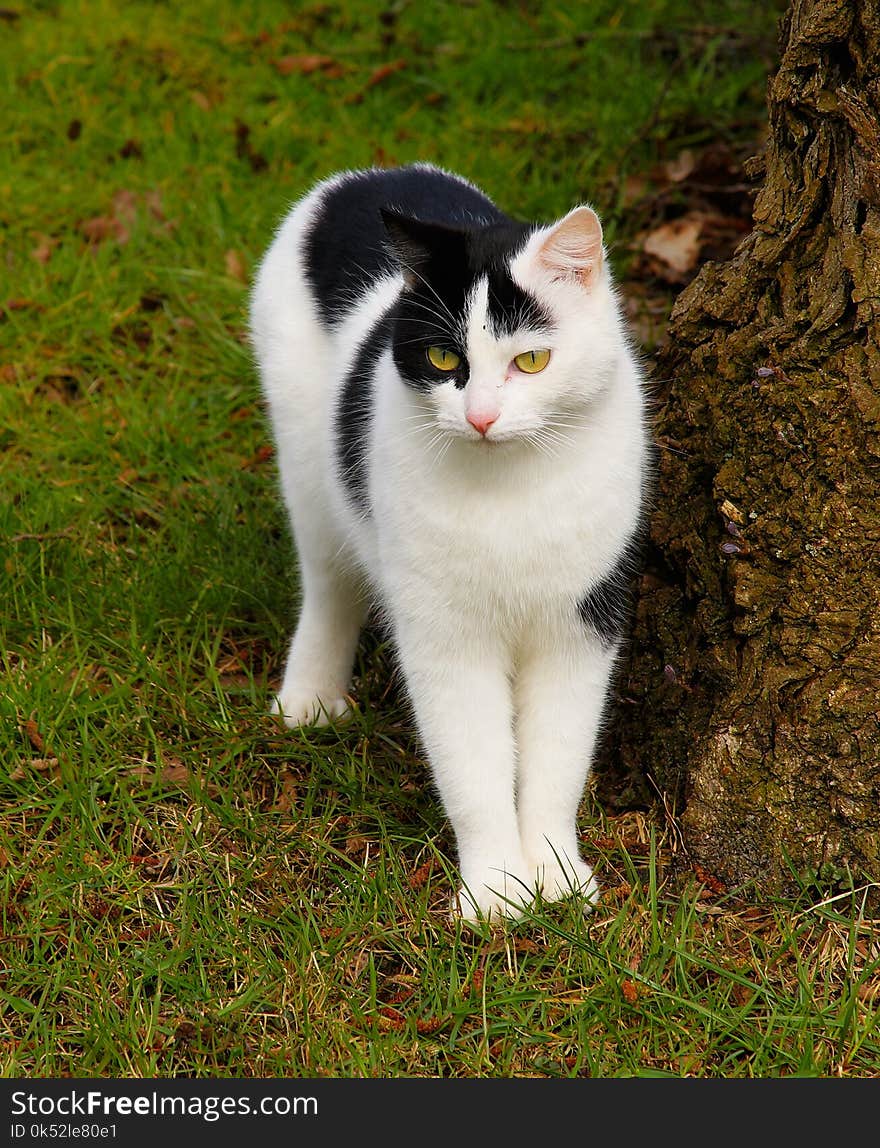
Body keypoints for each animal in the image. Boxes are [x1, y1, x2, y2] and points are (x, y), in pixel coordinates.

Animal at [251, 161, 651, 918]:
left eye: (532, 361)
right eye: (443, 359)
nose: (482, 416)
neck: (512, 485)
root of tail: (369, 176)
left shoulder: (581, 621)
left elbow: (557, 758)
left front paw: (555, 875)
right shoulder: (446, 635)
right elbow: (472, 765)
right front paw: (495, 890)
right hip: (309, 464)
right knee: (328, 580)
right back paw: (310, 696)